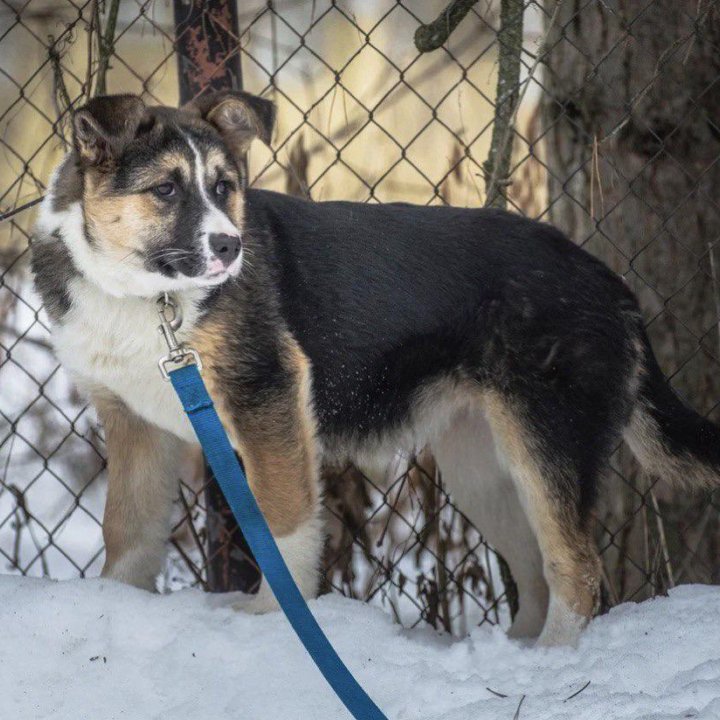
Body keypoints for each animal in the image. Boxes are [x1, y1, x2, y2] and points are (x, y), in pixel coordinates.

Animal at [33, 91, 720, 648]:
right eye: (166, 190)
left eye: (225, 186)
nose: (230, 247)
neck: (146, 297)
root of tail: (612, 284)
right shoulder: (135, 427)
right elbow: (127, 538)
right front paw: (115, 608)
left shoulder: (268, 400)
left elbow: (285, 526)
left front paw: (273, 624)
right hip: (482, 466)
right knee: (533, 568)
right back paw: (514, 656)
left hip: (549, 441)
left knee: (575, 567)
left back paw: (550, 662)